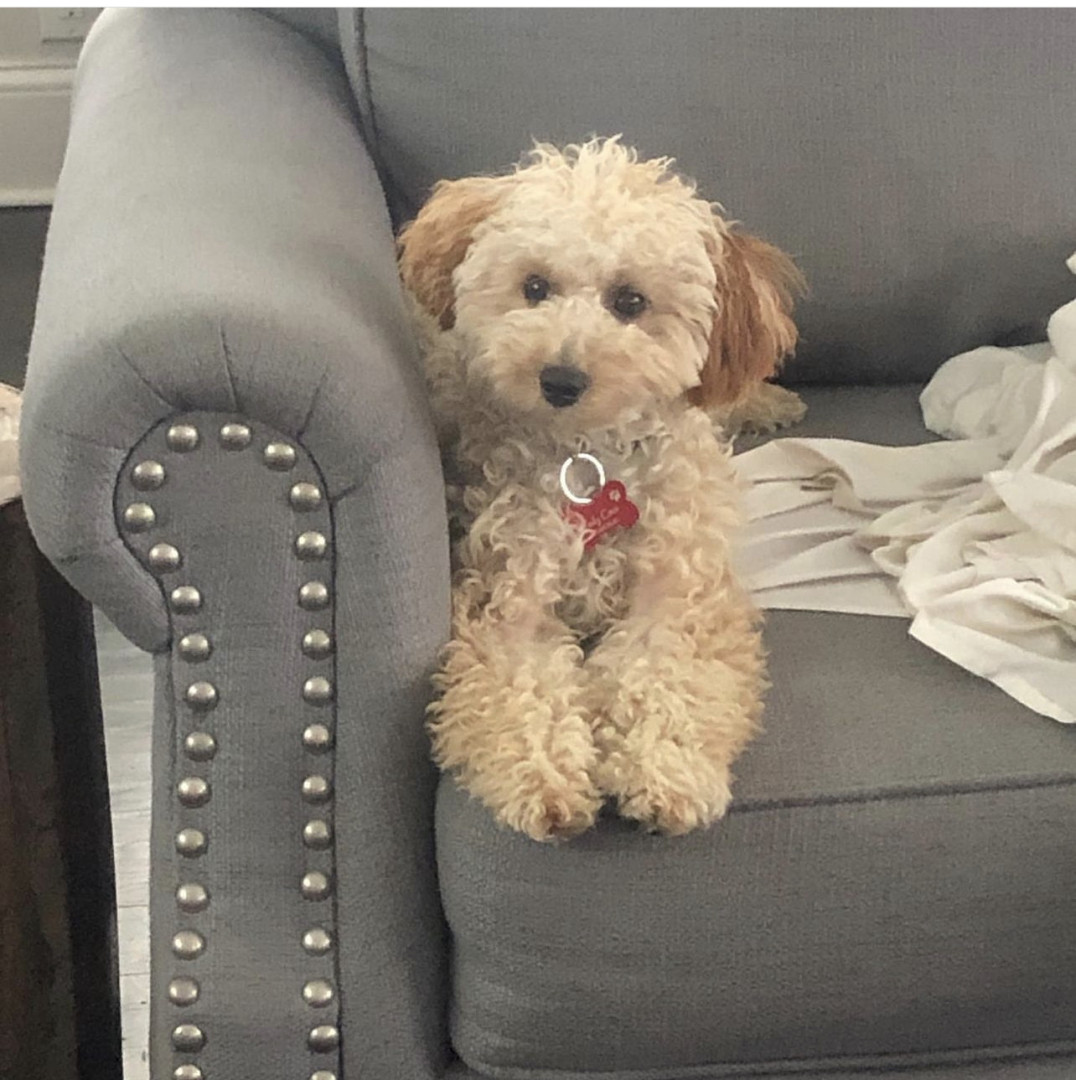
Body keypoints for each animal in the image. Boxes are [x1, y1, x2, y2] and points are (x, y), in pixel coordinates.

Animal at [398, 138, 804, 841]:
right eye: (535, 287)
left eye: (630, 302)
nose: (560, 378)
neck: (588, 457)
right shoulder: (506, 601)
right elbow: (522, 690)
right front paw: (544, 780)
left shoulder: (679, 596)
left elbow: (666, 677)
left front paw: (664, 773)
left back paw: (772, 402)